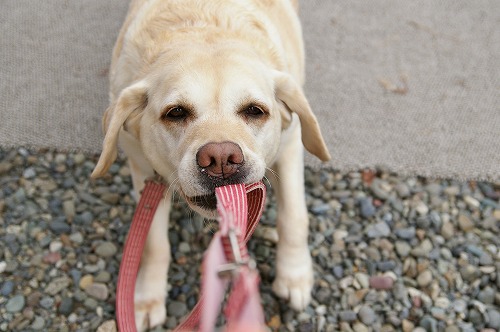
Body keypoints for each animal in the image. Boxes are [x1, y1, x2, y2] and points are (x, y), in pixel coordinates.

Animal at [92, 0, 330, 330]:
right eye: (176, 112)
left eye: (255, 110)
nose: (220, 159)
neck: (203, 21)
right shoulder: (141, 166)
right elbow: (153, 242)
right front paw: (146, 297)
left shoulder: (292, 142)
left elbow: (294, 217)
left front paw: (294, 276)